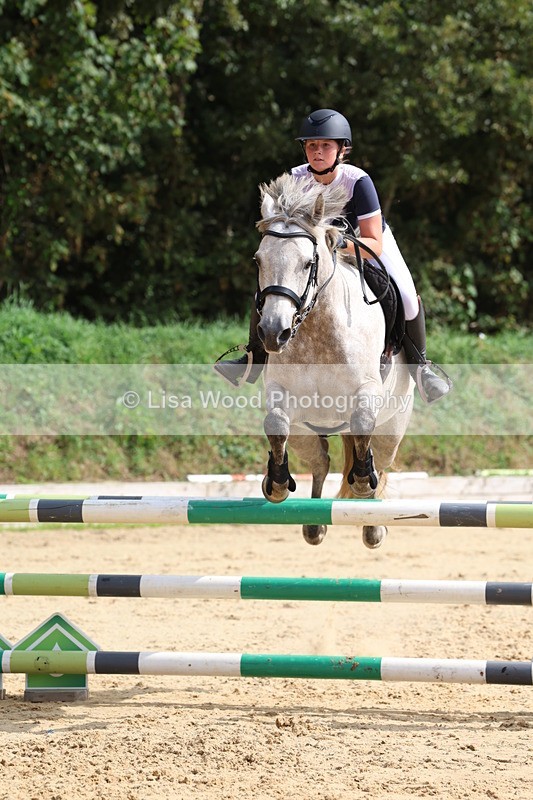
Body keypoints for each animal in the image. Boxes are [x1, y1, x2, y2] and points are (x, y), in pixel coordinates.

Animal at [254, 173, 414, 548]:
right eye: (258, 260)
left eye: (307, 263)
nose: (273, 332)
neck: (317, 332)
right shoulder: (281, 393)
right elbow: (275, 424)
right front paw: (276, 484)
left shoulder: (367, 391)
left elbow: (362, 426)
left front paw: (362, 480)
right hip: (307, 431)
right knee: (320, 462)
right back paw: (314, 523)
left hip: (392, 429)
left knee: (380, 460)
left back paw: (372, 522)